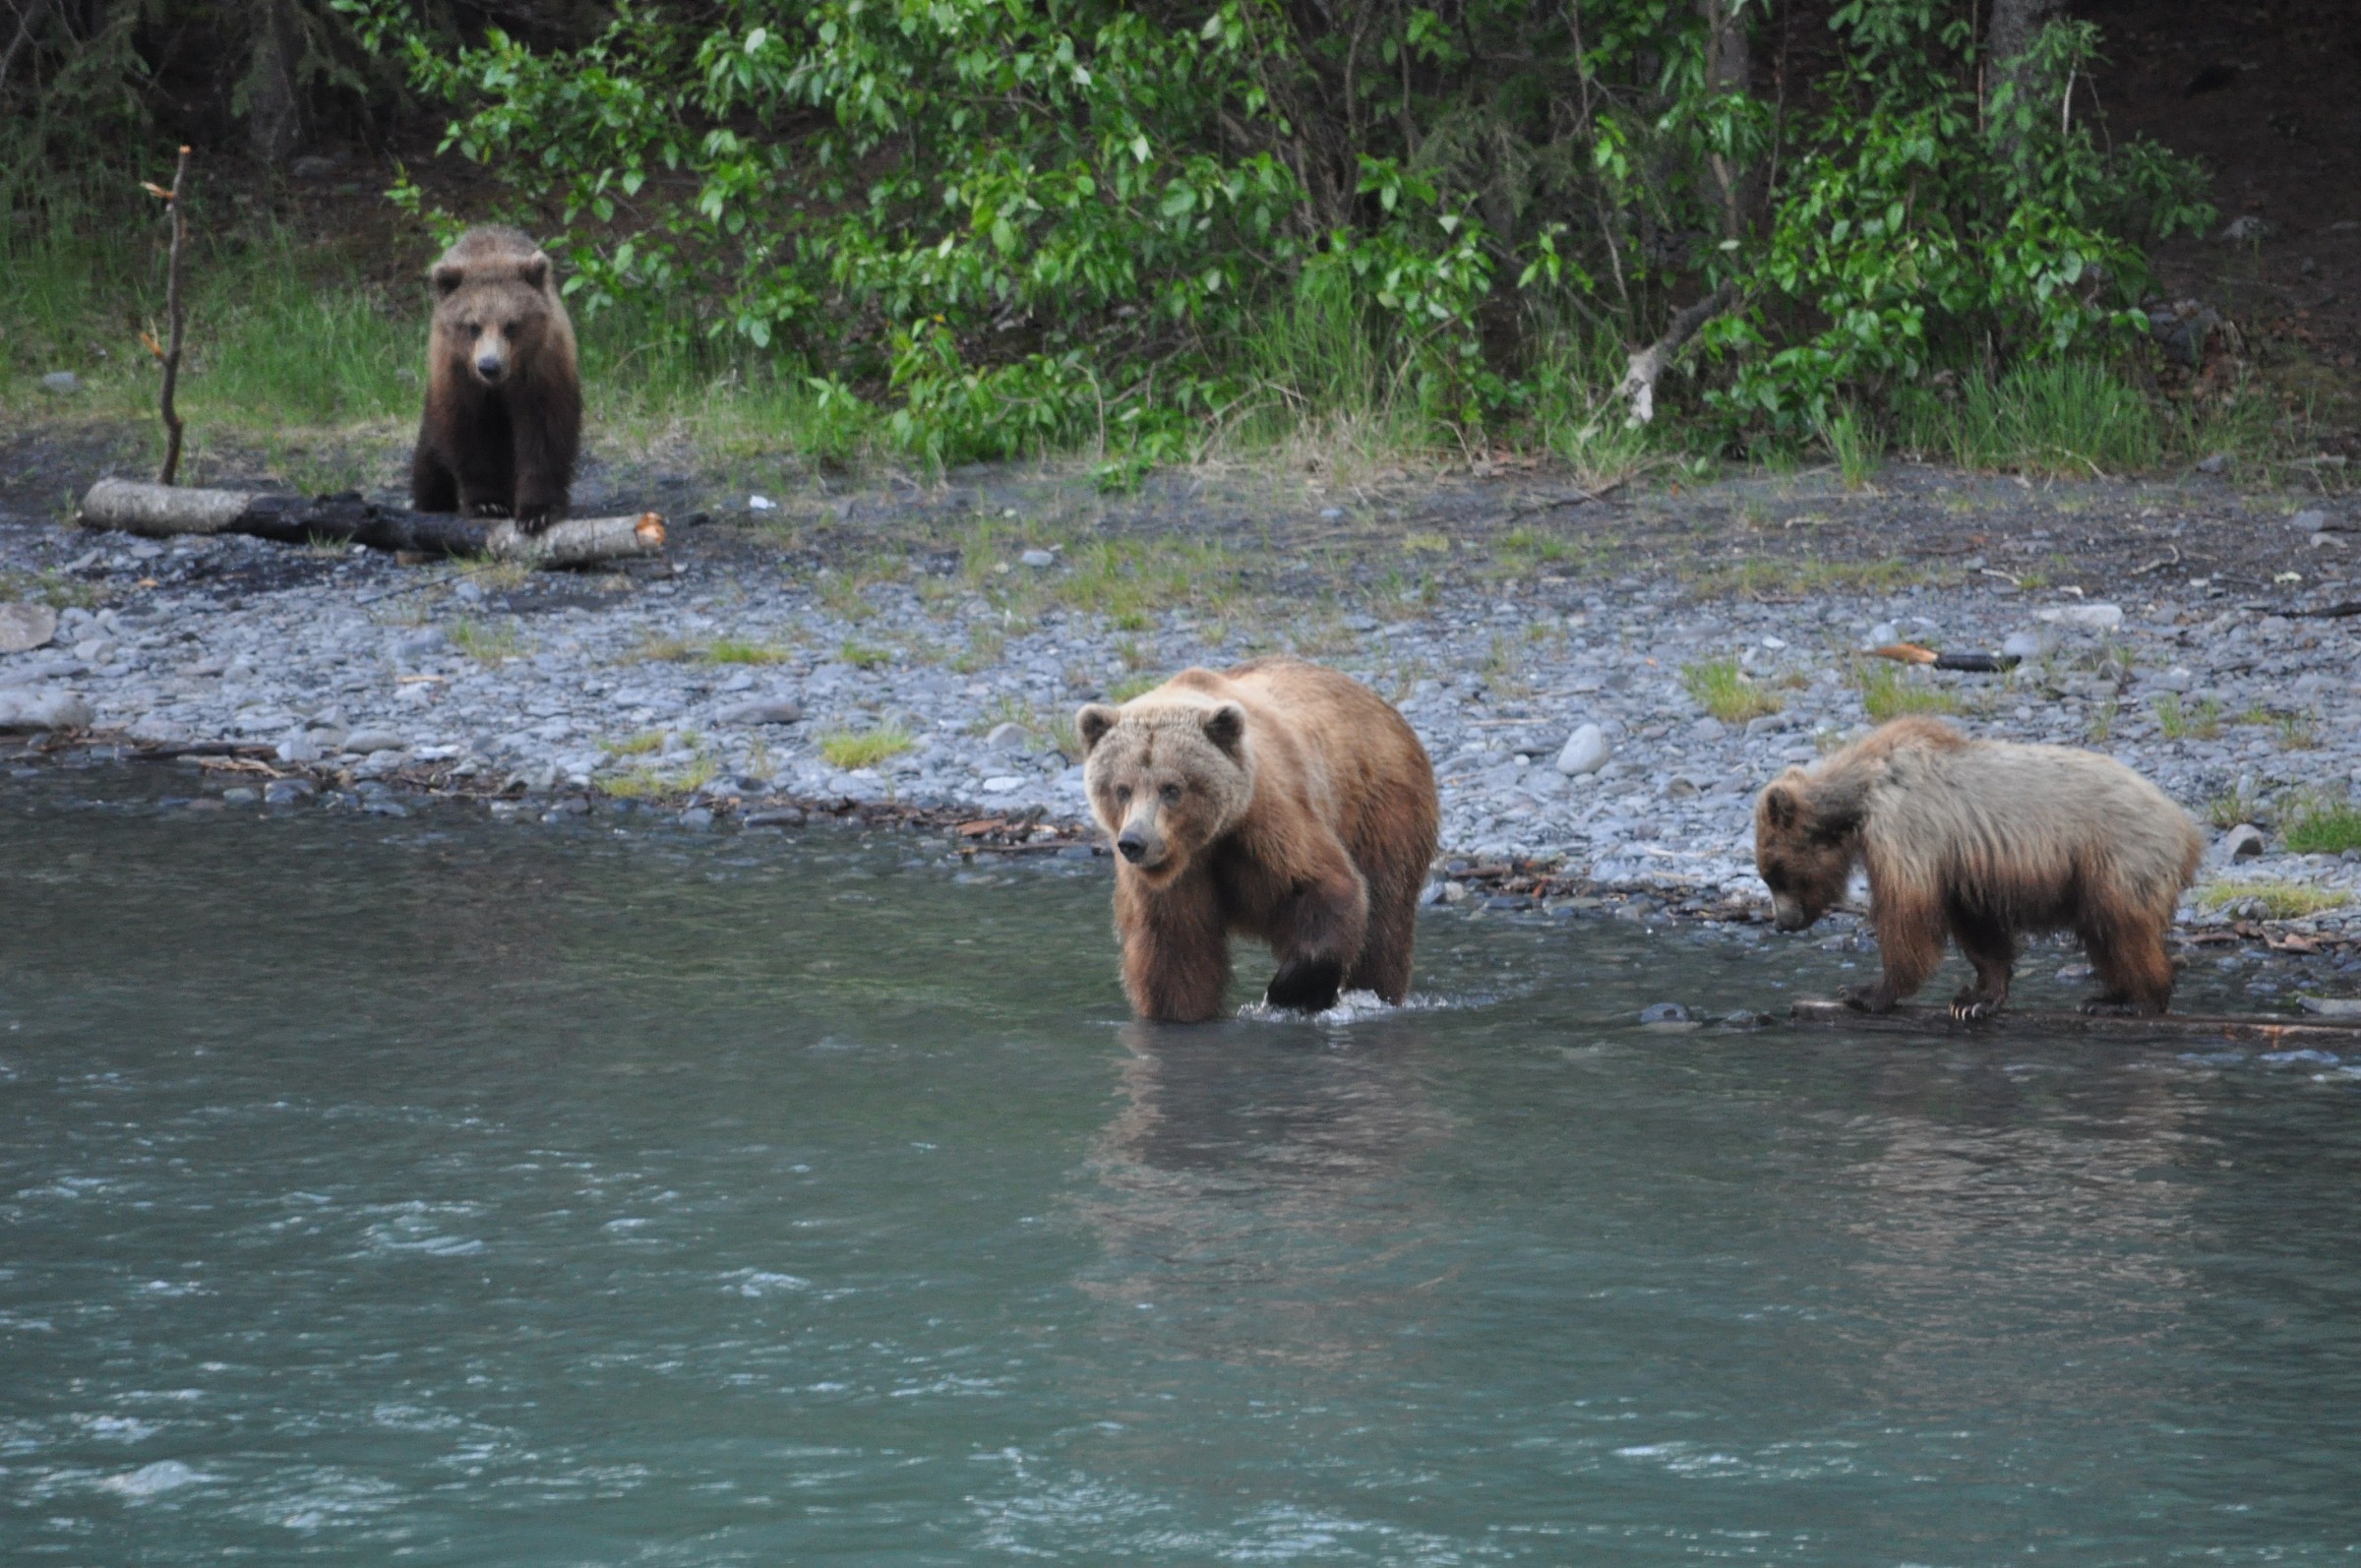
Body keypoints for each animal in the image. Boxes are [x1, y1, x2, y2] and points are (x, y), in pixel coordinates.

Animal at [410, 225, 581, 531]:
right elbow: (469, 433)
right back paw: (431, 495)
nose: (489, 365)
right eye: (472, 326)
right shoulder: (460, 375)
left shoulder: (541, 369)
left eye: (512, 325)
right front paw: (487, 502)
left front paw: (537, 512)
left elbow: (545, 432)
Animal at [1076, 657, 1440, 1023]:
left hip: (1382, 807)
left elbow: (1323, 885)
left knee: (1385, 917)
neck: (1207, 839)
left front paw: (1290, 991)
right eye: (1121, 788)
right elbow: (1175, 952)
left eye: (1172, 789)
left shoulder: (1267, 823)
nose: (1134, 841)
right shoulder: (1173, 881)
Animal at [1754, 716, 2204, 1020]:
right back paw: (2110, 996)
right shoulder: (1960, 865)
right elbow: (1977, 926)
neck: (1861, 794)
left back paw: (2135, 1000)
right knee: (2105, 932)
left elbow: (1906, 916)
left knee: (2122, 926)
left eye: (1774, 871)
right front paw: (1976, 999)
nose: (1782, 922)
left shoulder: (1907, 829)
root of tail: (2187, 828)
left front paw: (1865, 991)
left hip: (2120, 856)